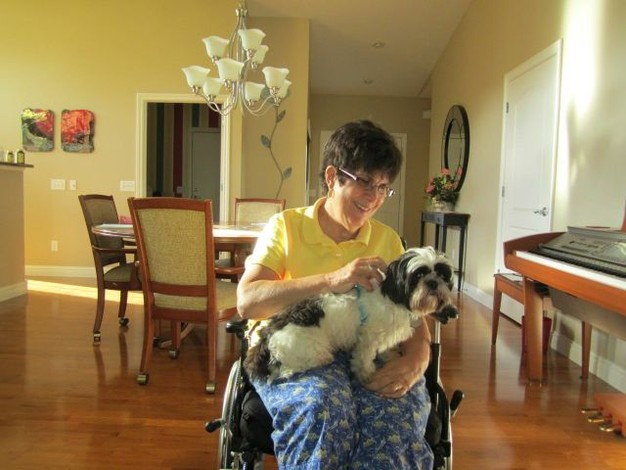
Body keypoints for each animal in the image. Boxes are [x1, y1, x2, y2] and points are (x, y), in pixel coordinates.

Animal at [244, 247, 459, 384]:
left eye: (442, 274)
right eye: (418, 276)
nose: (433, 282)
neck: (394, 298)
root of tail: (268, 335)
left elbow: (383, 349)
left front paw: (387, 354)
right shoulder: (368, 338)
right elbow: (364, 358)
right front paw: (366, 373)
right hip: (313, 349)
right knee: (289, 368)